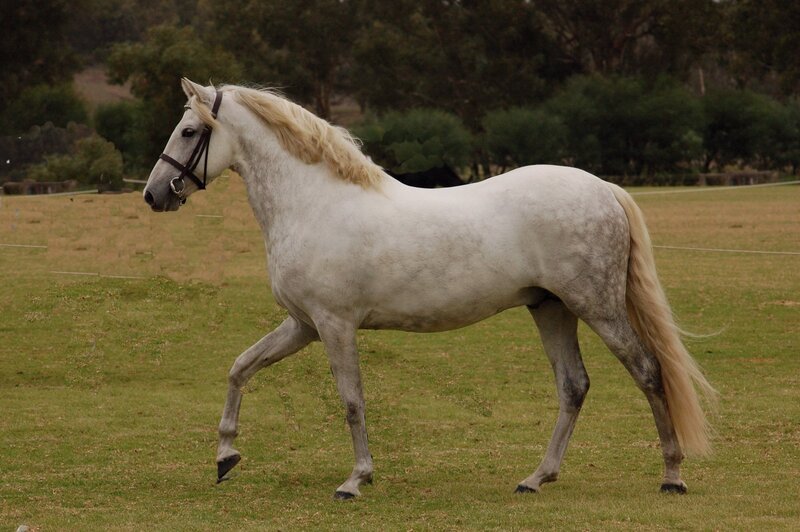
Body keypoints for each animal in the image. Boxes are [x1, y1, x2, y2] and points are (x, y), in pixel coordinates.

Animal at [143, 78, 715, 500]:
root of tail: (605, 188)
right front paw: (225, 456)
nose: (154, 195)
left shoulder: (334, 325)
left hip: (596, 306)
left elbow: (351, 400)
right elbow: (240, 368)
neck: (313, 203)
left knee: (648, 371)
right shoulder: (302, 325)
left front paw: (356, 479)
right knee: (573, 386)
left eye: (189, 131)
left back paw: (672, 475)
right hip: (551, 309)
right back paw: (536, 478)